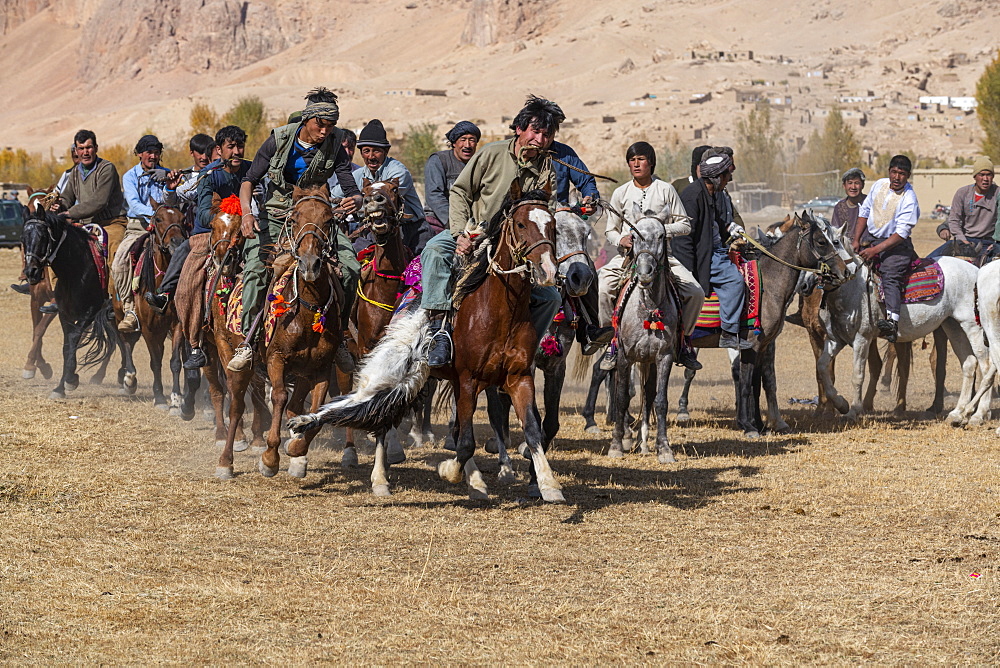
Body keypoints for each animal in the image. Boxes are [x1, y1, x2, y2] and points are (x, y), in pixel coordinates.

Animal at [816, 250, 988, 422]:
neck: (853, 287)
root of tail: (977, 271)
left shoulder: (862, 339)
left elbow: (857, 376)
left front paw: (853, 411)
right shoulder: (835, 340)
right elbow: (822, 367)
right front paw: (841, 404)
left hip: (973, 326)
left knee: (986, 365)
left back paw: (979, 414)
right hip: (953, 326)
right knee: (969, 363)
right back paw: (957, 413)